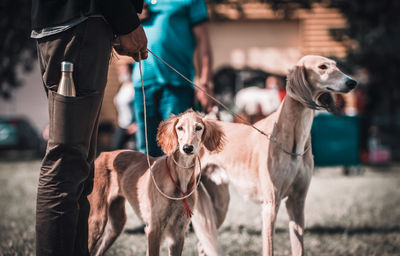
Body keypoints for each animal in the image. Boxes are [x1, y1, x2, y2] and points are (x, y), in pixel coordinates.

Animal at [88, 110, 225, 256]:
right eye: (180, 128)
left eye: (198, 128)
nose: (187, 148)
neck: (180, 177)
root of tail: (103, 154)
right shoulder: (153, 229)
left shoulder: (178, 233)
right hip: (97, 220)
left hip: (115, 225)